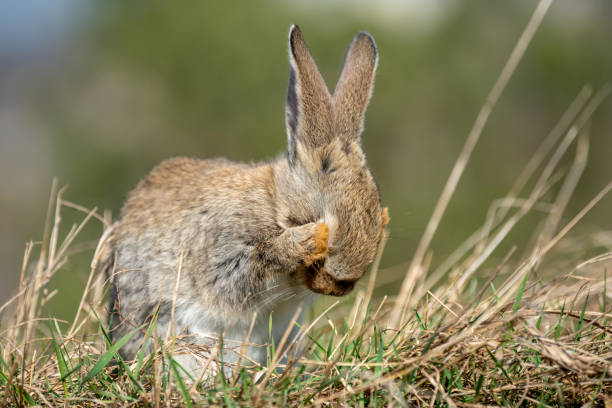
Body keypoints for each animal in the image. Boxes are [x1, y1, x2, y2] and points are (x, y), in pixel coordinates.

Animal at [98, 25, 390, 380]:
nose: (339, 287)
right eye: (319, 218)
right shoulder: (224, 249)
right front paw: (301, 242)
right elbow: (244, 270)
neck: (274, 204)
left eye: (378, 218)